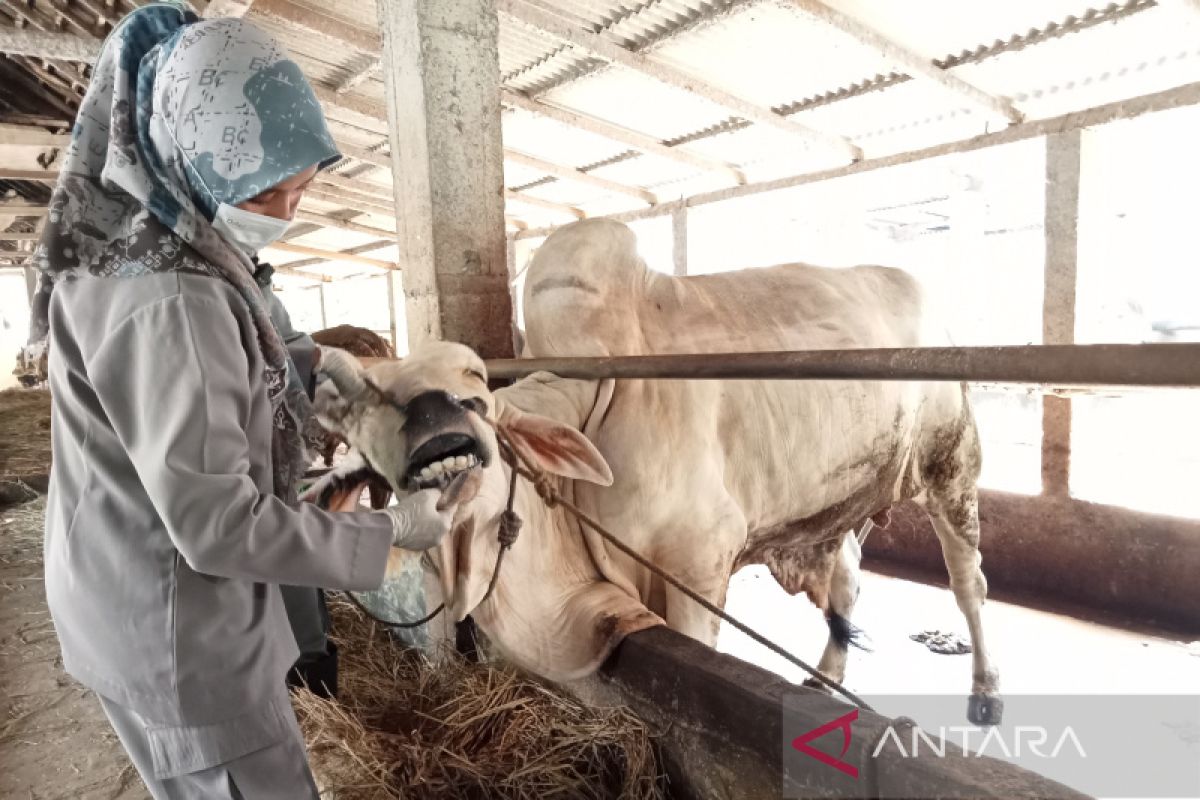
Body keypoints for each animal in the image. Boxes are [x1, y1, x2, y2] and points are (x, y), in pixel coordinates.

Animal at [312, 219, 1003, 724]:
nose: (431, 419)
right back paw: (823, 678)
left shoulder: (697, 563)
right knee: (846, 582)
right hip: (838, 503)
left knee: (968, 581)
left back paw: (986, 690)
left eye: (477, 396)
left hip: (953, 464)